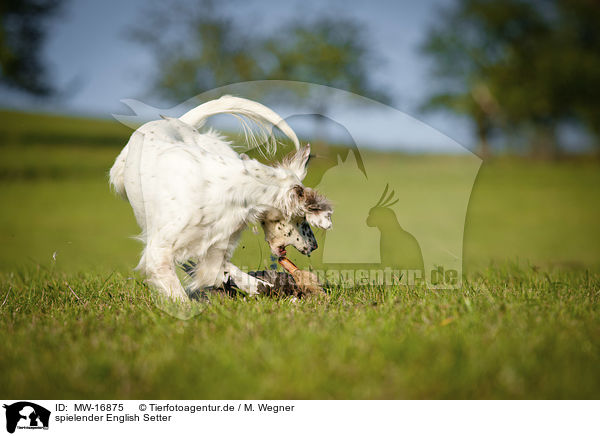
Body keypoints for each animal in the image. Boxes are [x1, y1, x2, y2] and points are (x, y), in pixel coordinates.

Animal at [111, 95, 332, 300]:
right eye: (301, 219)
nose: (314, 245)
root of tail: (174, 121)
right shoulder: (159, 252)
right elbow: (180, 297)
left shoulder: (215, 247)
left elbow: (242, 278)